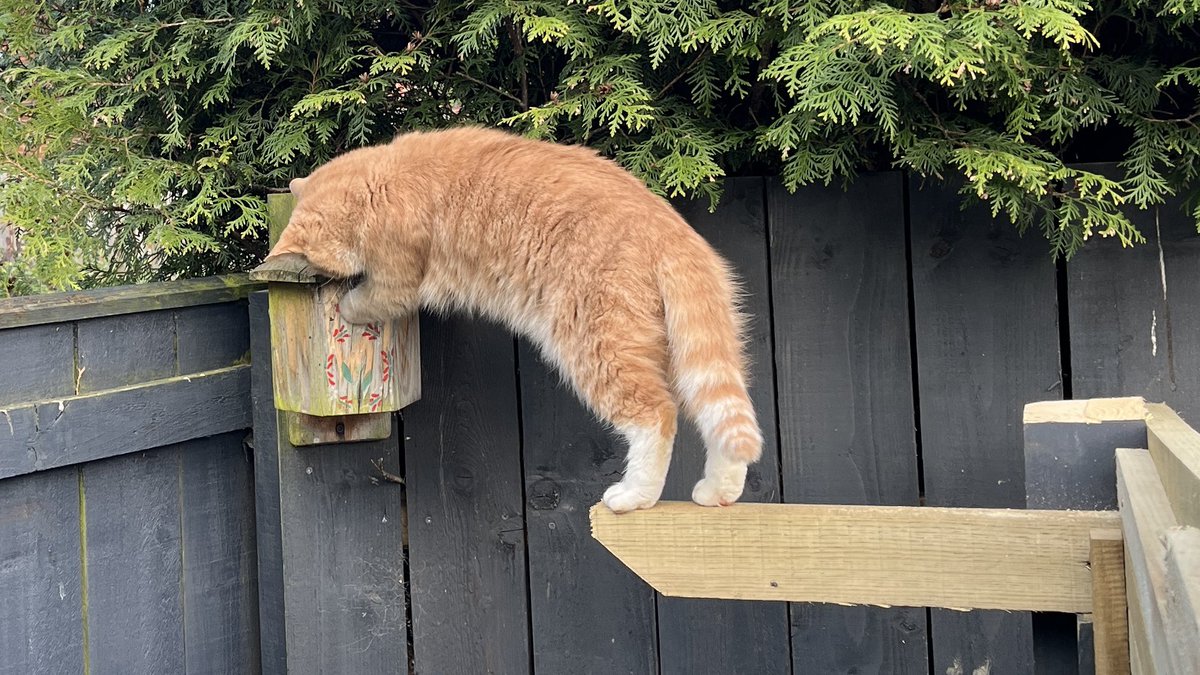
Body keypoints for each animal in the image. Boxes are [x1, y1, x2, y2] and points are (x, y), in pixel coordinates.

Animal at [268, 126, 763, 509]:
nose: (322, 284)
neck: (381, 179)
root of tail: (670, 228)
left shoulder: (396, 280)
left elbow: (371, 297)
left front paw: (345, 306)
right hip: (685, 351)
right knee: (716, 413)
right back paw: (718, 492)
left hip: (598, 347)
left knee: (656, 415)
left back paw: (634, 495)